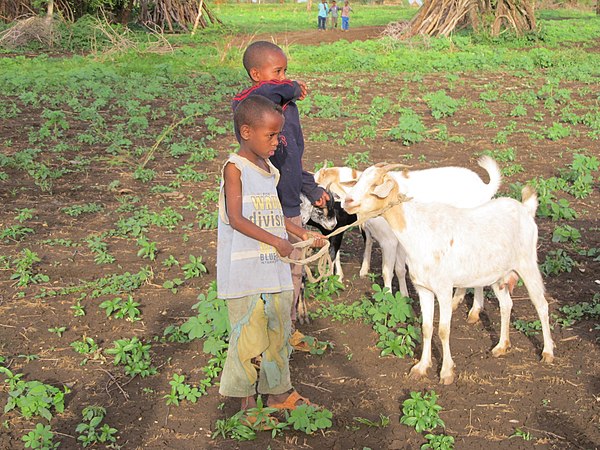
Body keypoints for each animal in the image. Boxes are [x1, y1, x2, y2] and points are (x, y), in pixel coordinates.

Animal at [314, 156, 502, 322]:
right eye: (358, 182)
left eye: (375, 185)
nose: (349, 201)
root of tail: (484, 188)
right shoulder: (399, 241)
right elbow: (399, 269)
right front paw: (403, 296)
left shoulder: (389, 241)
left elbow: (387, 271)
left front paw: (387, 300)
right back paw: (457, 300)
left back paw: (474, 311)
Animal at [342, 164, 552, 384]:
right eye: (359, 180)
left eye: (375, 184)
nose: (347, 201)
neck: (418, 231)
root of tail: (525, 209)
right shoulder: (423, 288)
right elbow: (426, 328)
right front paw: (421, 367)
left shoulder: (443, 289)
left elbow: (443, 330)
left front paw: (446, 372)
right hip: (497, 274)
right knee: (506, 304)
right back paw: (501, 346)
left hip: (528, 263)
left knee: (541, 304)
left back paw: (547, 352)